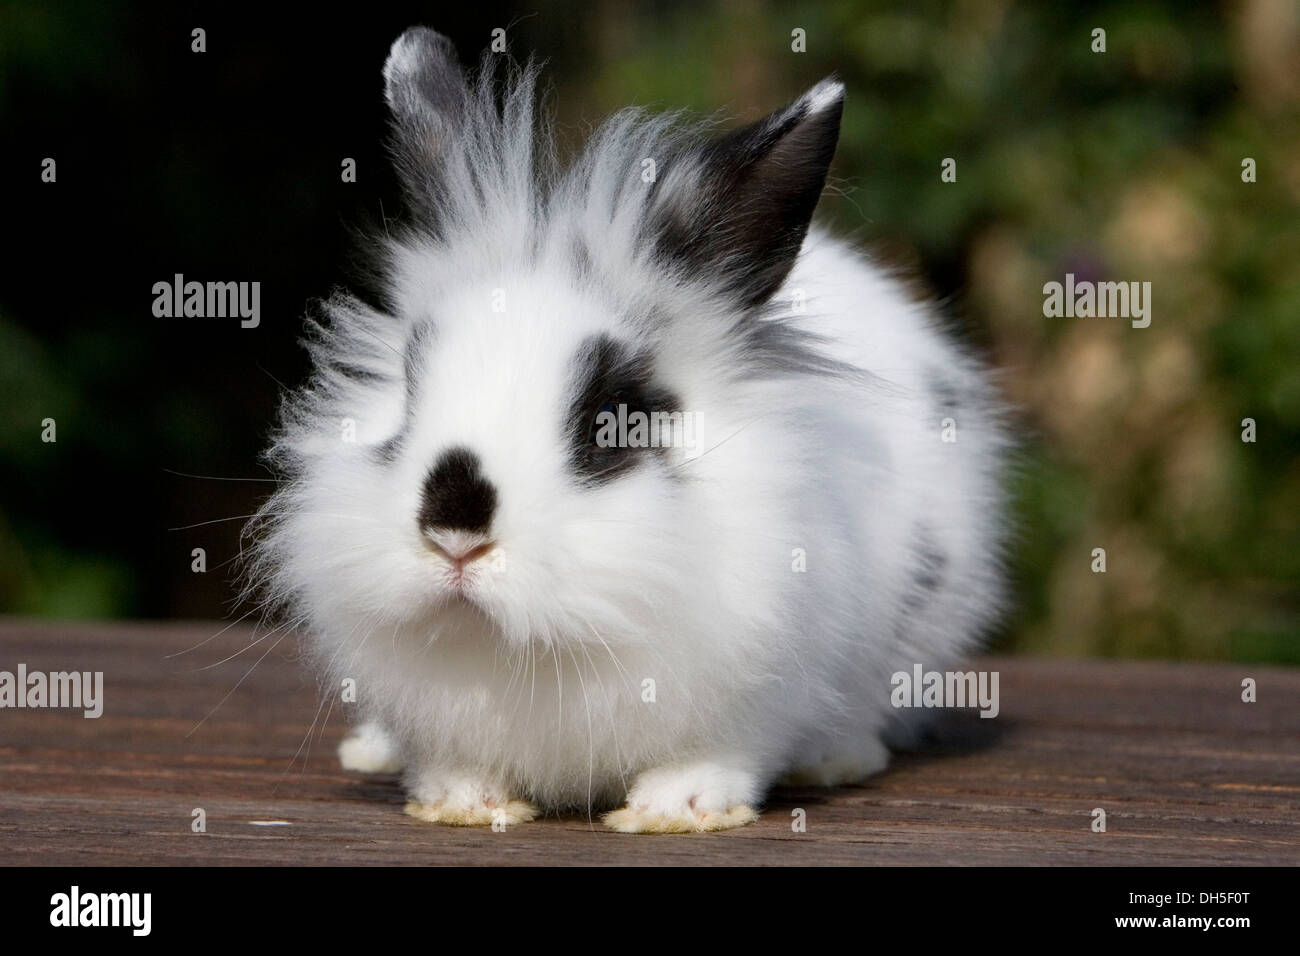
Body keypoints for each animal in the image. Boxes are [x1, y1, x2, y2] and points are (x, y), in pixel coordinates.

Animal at [245, 26, 1013, 832]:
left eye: (613, 419)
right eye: (410, 385)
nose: (455, 533)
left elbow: (722, 753)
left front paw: (681, 806)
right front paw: (462, 798)